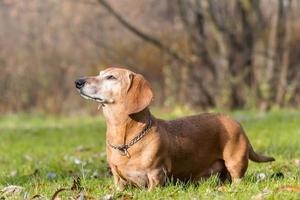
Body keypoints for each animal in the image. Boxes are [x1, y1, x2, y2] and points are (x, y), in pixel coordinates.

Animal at [75, 67, 274, 191]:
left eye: (111, 77)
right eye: (100, 73)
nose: (78, 81)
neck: (126, 139)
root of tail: (235, 121)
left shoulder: (156, 174)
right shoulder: (118, 180)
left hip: (235, 160)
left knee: (238, 178)